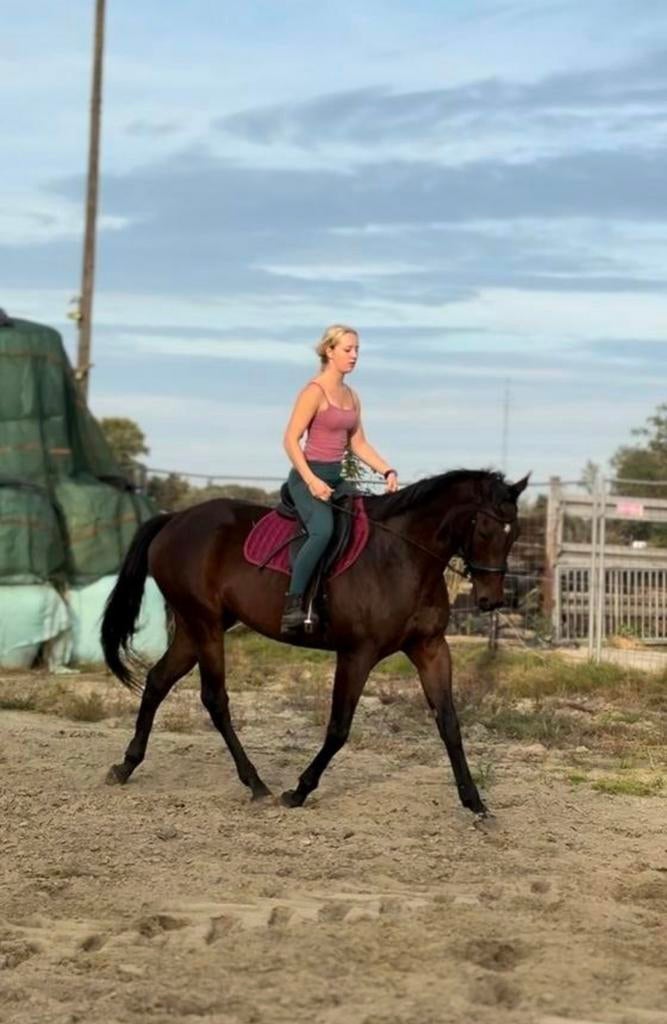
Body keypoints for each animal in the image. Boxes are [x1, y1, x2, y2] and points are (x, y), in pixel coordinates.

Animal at [101, 468, 528, 817]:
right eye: (486, 528)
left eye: (515, 534)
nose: (492, 601)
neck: (404, 555)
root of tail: (175, 519)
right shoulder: (357, 654)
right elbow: (339, 728)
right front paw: (299, 791)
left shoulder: (431, 649)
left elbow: (450, 723)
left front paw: (475, 803)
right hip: (204, 625)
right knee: (214, 699)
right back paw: (256, 784)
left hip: (195, 628)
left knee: (157, 681)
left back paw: (125, 766)